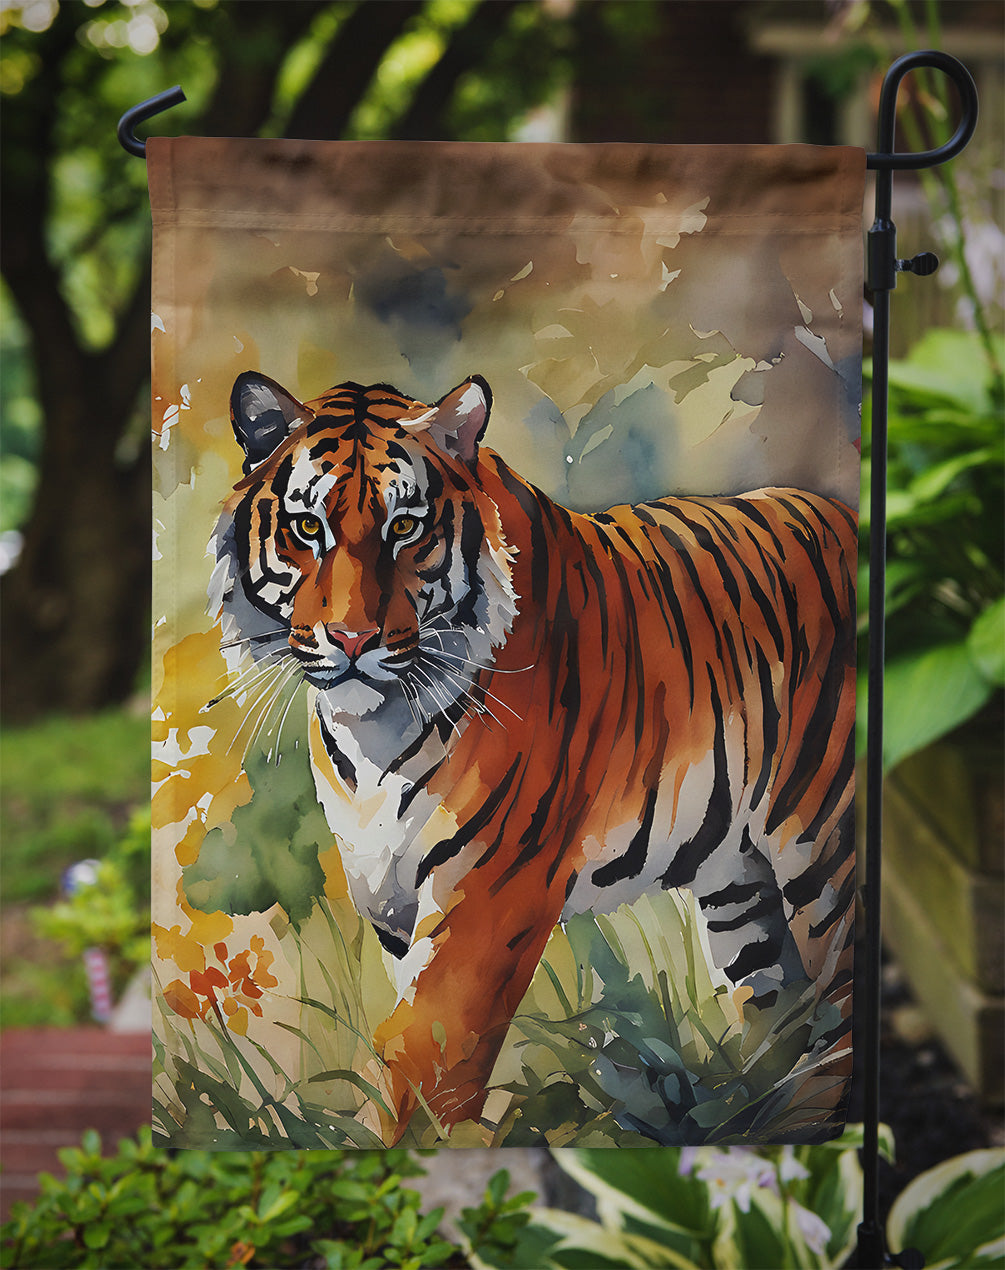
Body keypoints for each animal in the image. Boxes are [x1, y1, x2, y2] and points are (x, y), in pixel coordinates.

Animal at [207, 369, 857, 1145]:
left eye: (405, 527)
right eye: (308, 528)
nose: (353, 639)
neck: (370, 736)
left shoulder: (488, 896)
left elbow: (423, 1055)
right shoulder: (392, 902)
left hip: (825, 855)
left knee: (843, 1008)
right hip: (739, 887)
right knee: (785, 1013)